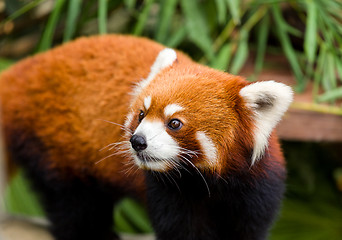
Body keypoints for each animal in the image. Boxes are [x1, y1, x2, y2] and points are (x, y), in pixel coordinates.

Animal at [0, 34, 294, 240]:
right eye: (141, 115)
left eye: (174, 123)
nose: (137, 141)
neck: (206, 181)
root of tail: (23, 69)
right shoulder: (168, 192)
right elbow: (180, 230)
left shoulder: (256, 188)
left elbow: (248, 227)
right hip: (53, 141)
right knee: (72, 202)